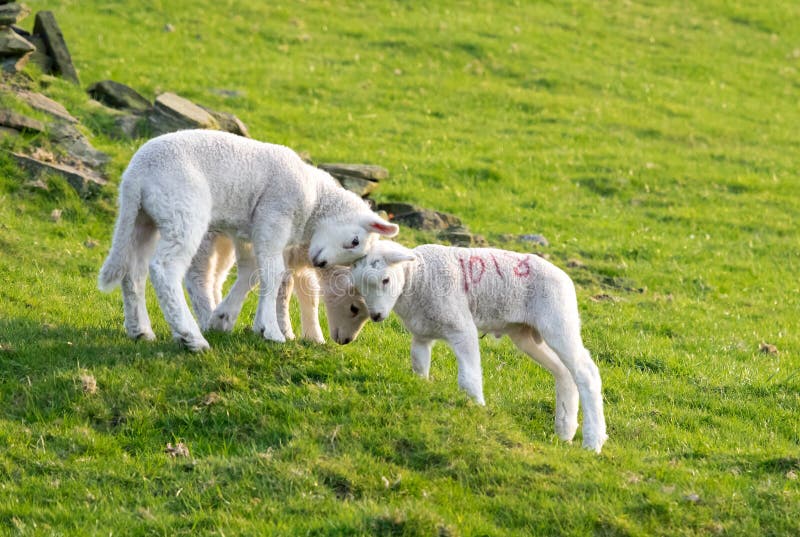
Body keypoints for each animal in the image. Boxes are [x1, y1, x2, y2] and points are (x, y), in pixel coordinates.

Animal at [184, 232, 368, 346]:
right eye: (354, 308)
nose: (346, 341)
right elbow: (284, 289)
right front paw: (284, 331)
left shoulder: (299, 260)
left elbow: (310, 294)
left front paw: (314, 337)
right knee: (197, 274)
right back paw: (207, 318)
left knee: (217, 277)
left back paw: (219, 316)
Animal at [350, 240, 608, 452]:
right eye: (361, 288)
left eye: (385, 280)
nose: (376, 316)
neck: (419, 277)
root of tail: (566, 279)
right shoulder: (421, 335)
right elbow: (419, 365)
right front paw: (421, 387)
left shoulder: (462, 327)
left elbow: (469, 377)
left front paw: (475, 407)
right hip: (525, 334)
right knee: (563, 372)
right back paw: (565, 430)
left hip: (558, 319)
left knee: (586, 373)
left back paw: (593, 441)